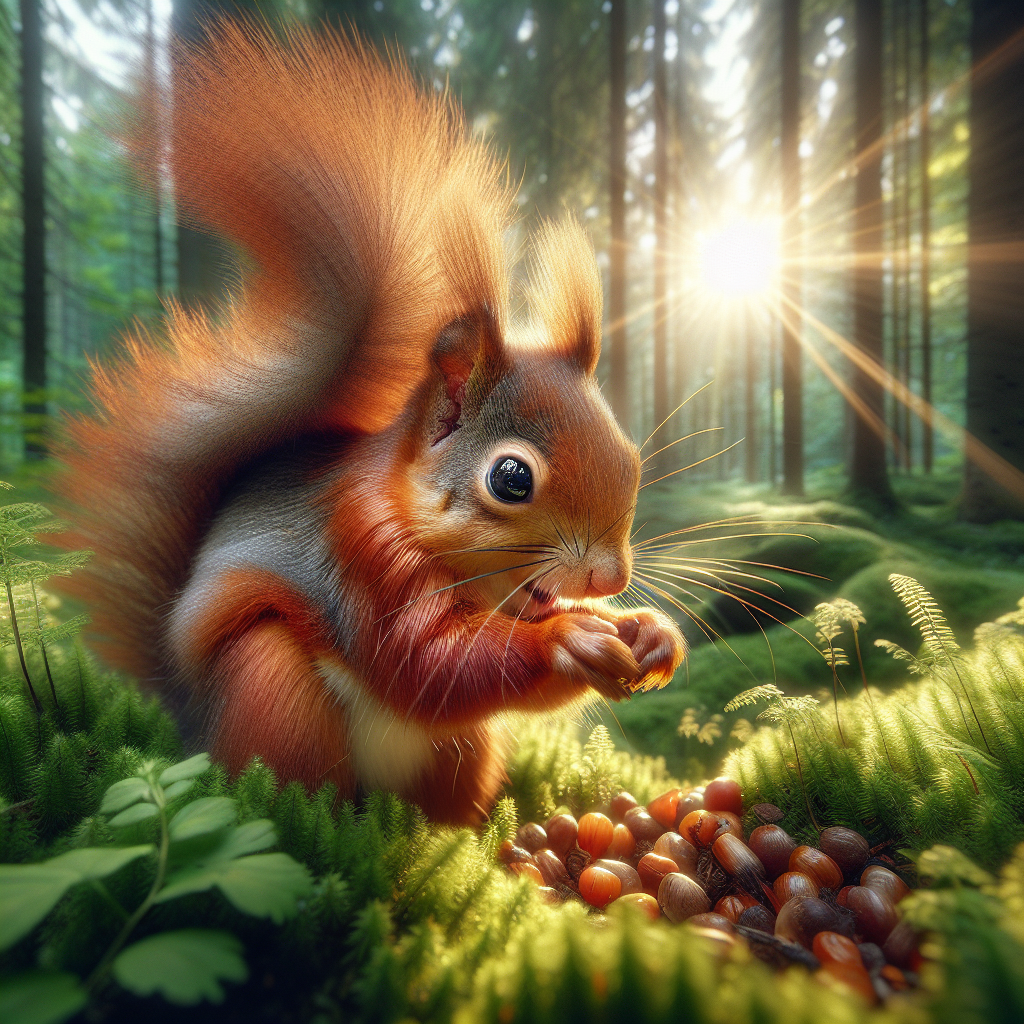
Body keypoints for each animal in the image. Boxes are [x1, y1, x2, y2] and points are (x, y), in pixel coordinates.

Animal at [56, 21, 686, 825]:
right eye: (512, 478)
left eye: (631, 456)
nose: (612, 577)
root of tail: (189, 719)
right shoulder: (363, 556)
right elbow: (427, 664)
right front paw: (568, 638)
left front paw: (651, 632)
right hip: (272, 689)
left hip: (461, 757)